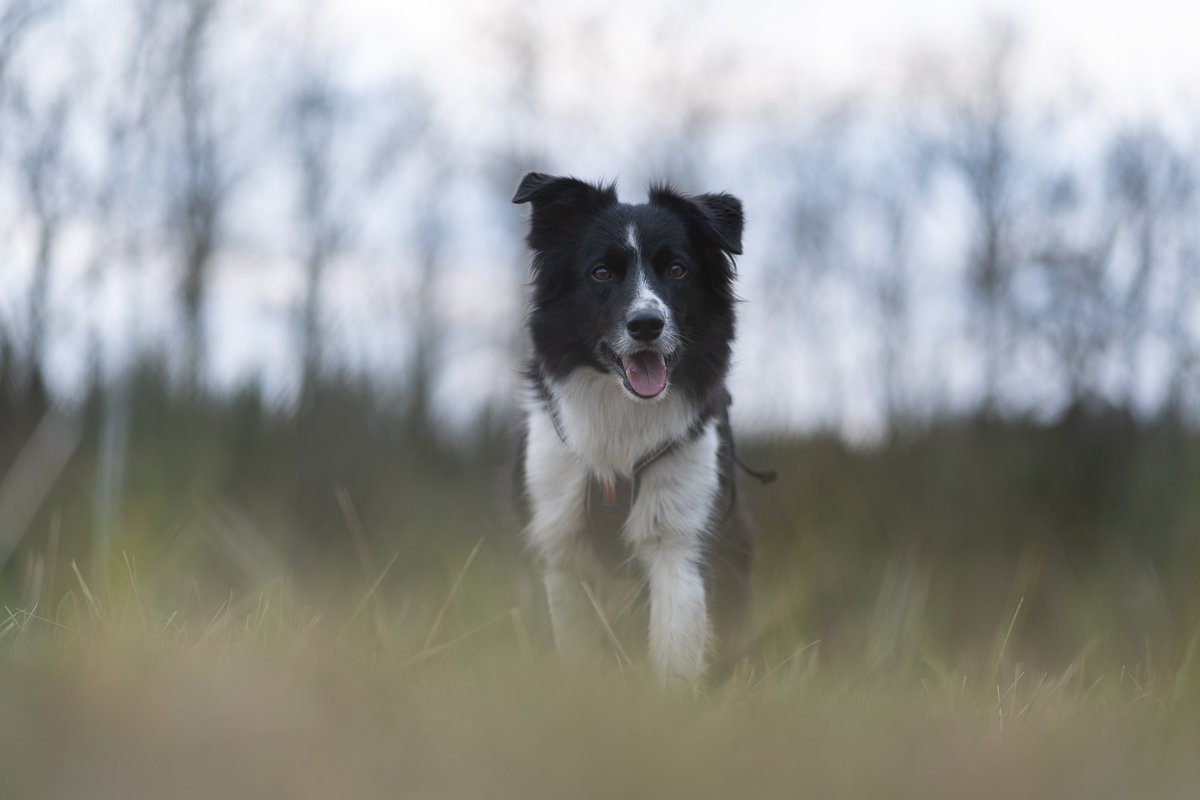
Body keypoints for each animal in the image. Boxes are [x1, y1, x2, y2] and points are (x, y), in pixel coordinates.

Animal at [511, 170, 753, 690]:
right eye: (601, 273)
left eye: (677, 270)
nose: (647, 324)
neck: (623, 414)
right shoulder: (561, 545)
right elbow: (574, 652)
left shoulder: (679, 539)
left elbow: (675, 649)